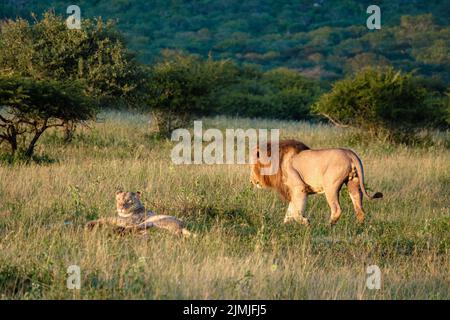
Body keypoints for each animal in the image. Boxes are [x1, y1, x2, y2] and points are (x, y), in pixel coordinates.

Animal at [251, 139, 382, 225]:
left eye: (252, 166)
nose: (252, 181)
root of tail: (350, 153)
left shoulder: (299, 188)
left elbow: (296, 212)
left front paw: (306, 222)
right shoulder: (293, 191)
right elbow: (289, 212)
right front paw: (285, 227)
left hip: (330, 186)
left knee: (337, 210)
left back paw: (327, 227)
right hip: (354, 184)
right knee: (359, 209)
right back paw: (360, 228)